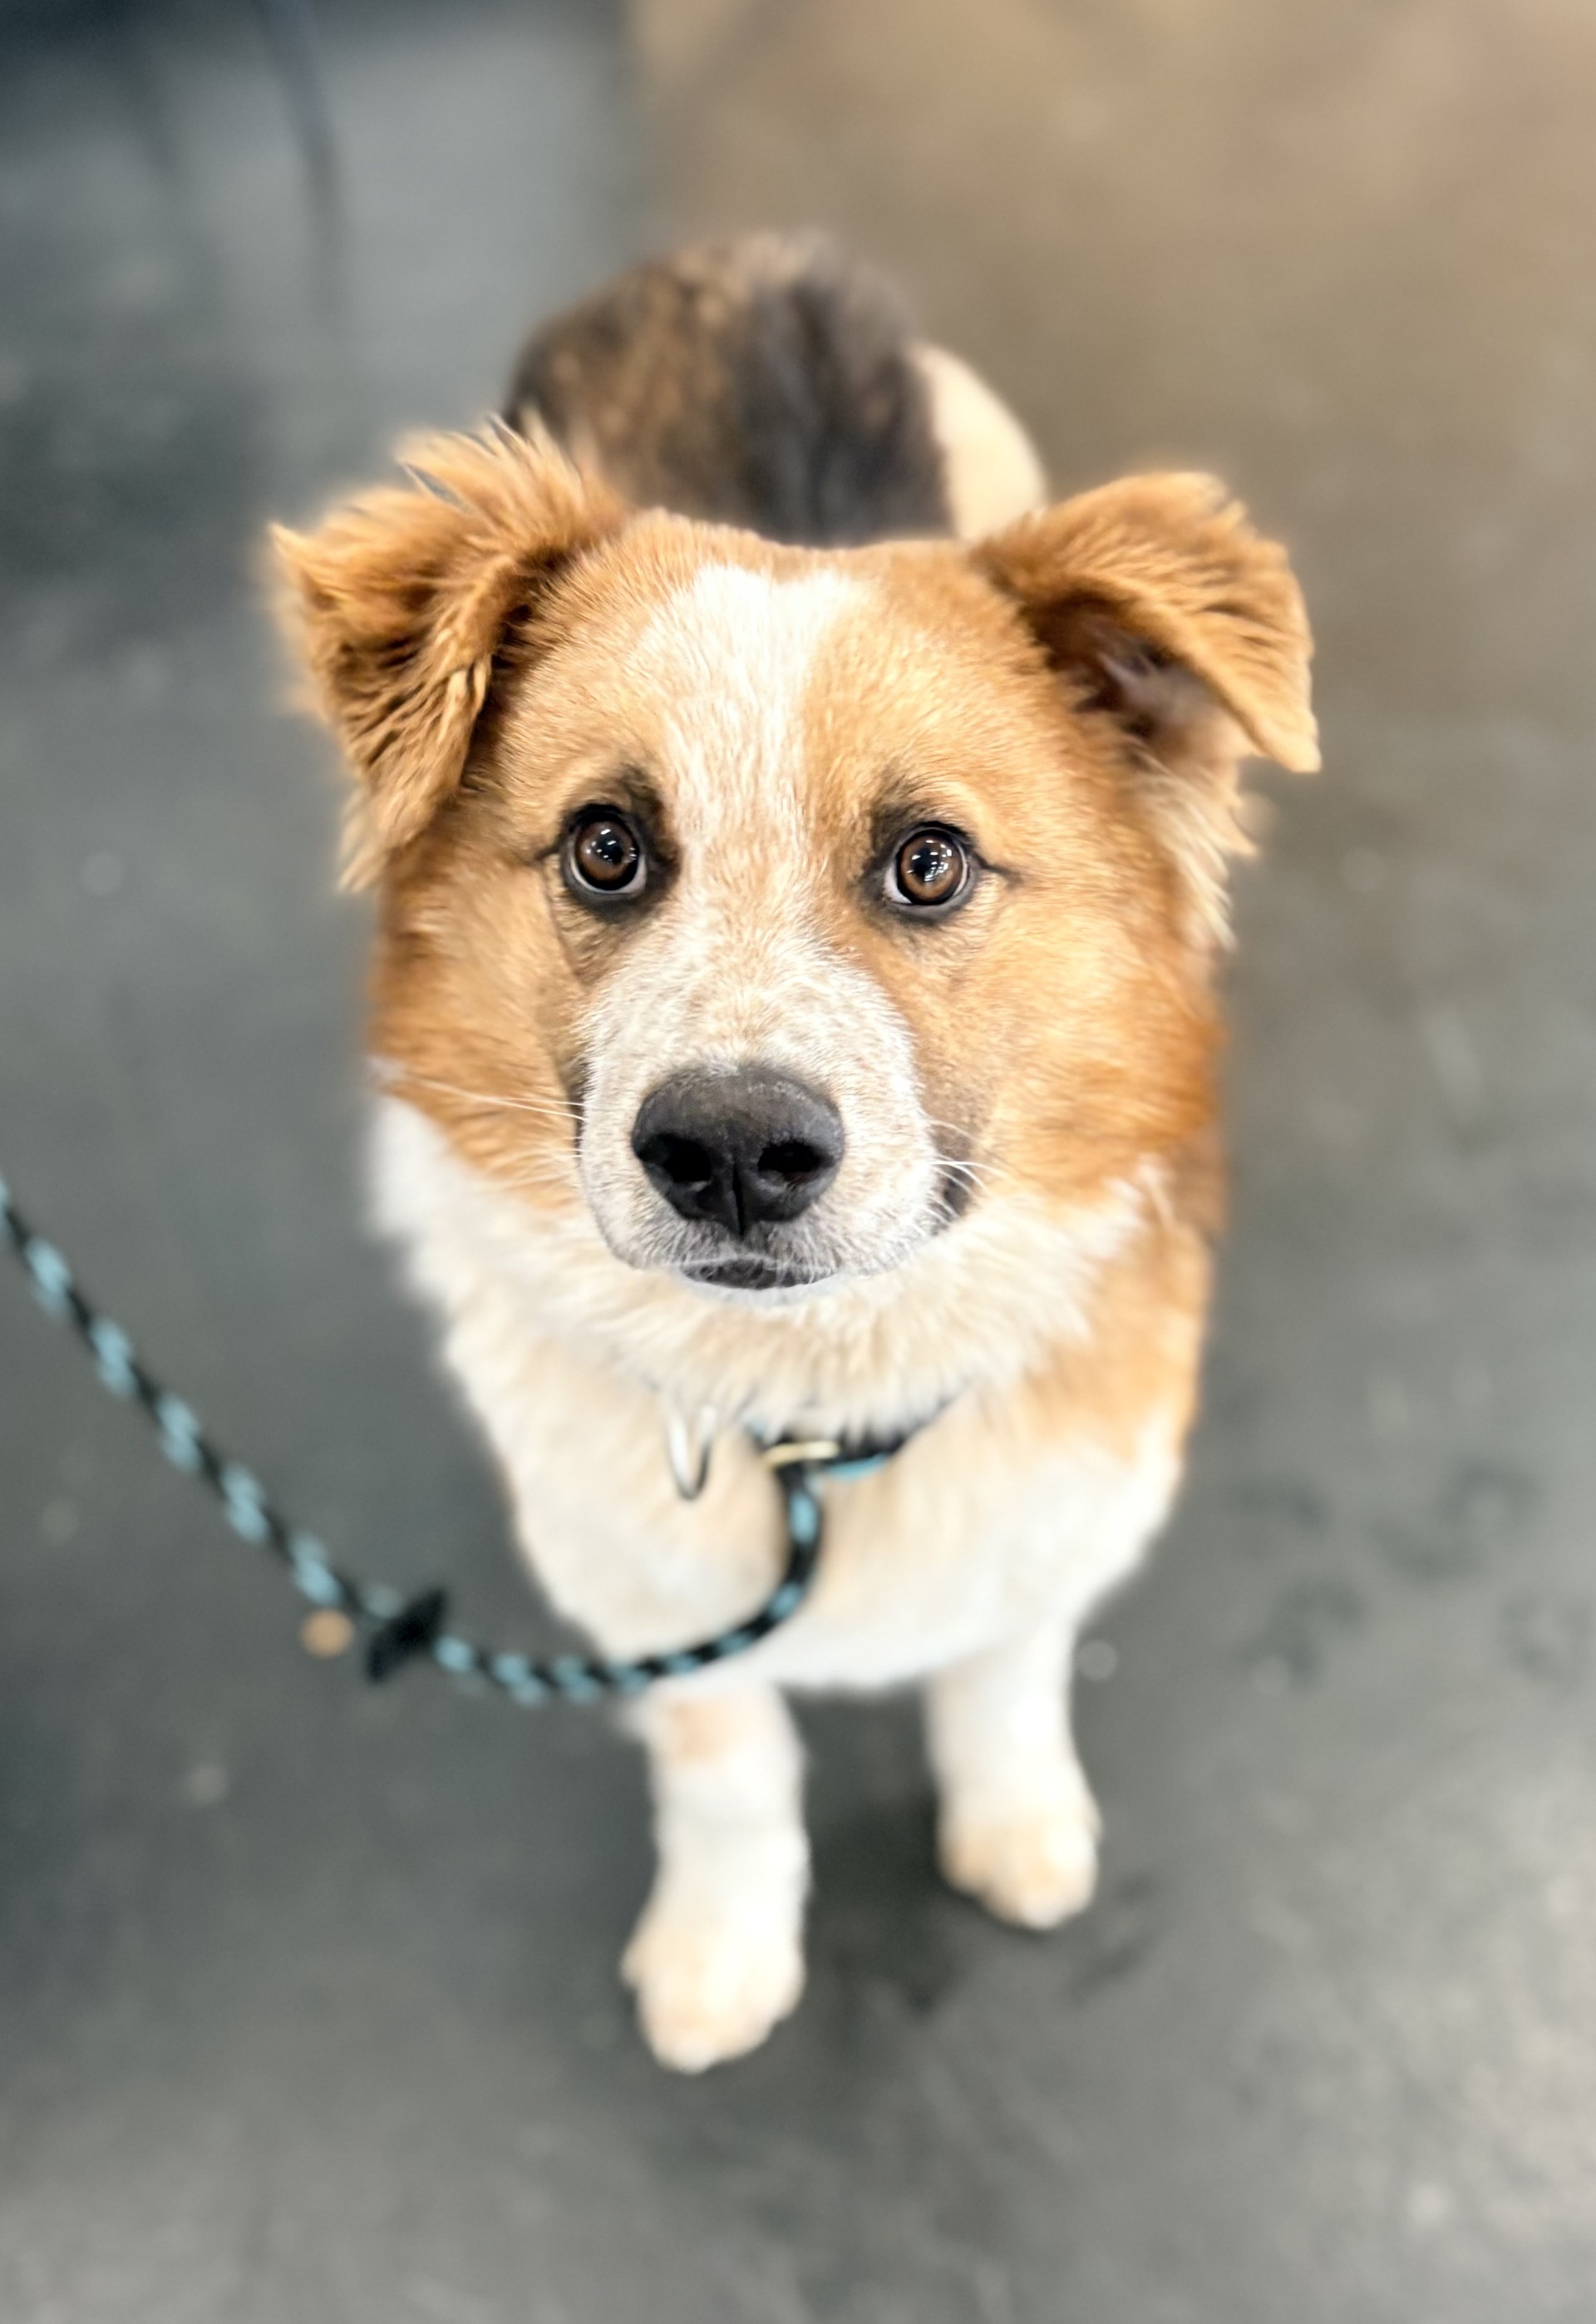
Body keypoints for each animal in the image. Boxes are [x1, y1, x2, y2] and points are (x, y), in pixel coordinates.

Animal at [273, 233, 1316, 2071]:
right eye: (606, 847)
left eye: (930, 862)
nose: (735, 1153)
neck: (818, 1408)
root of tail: (736, 254)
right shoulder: (657, 1618)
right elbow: (730, 1776)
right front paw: (720, 1950)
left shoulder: (1057, 1527)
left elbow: (1003, 1678)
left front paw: (1015, 1825)